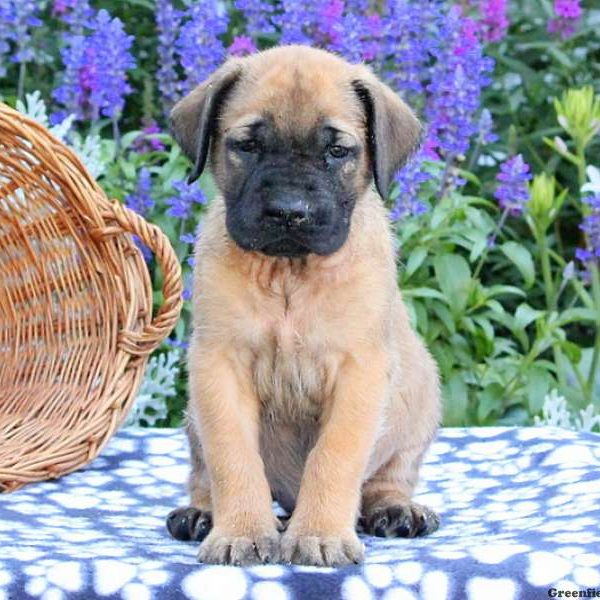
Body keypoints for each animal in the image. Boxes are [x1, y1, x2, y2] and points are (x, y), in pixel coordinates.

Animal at [166, 44, 438, 564]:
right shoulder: (219, 367)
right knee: (203, 472)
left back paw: (396, 509)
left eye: (337, 151)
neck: (290, 273)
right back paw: (202, 513)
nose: (290, 212)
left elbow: (334, 458)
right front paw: (241, 532)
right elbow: (232, 458)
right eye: (249, 145)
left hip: (420, 404)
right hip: (192, 418)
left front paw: (320, 534)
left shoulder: (359, 373)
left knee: (390, 476)